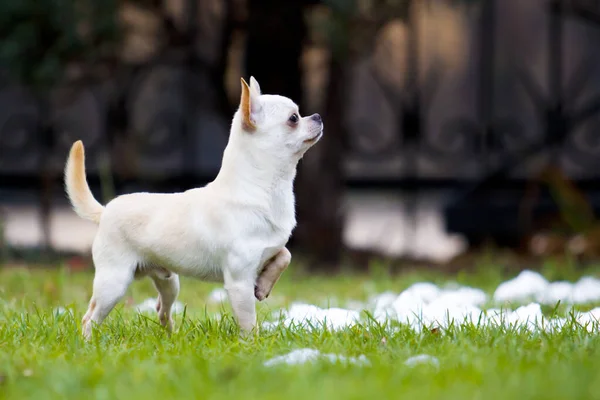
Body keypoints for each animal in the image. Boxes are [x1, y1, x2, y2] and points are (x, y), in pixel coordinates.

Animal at [63, 76, 322, 340]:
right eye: (294, 118)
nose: (318, 116)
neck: (264, 189)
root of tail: (105, 210)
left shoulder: (270, 250)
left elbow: (285, 255)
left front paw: (264, 286)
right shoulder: (239, 282)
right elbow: (249, 322)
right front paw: (252, 344)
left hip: (169, 282)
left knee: (161, 309)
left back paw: (171, 337)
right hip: (114, 283)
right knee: (89, 318)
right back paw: (89, 343)